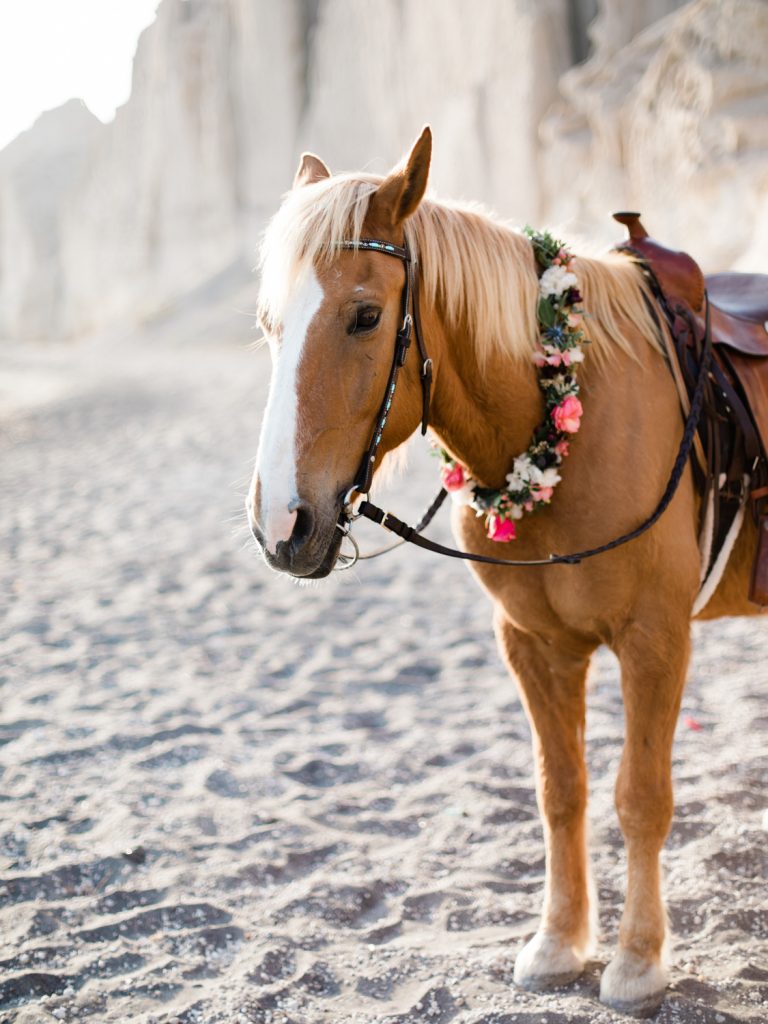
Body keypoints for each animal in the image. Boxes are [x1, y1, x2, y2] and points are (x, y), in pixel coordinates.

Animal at [246, 126, 763, 1017]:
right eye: (270, 323)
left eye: (366, 316)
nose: (283, 525)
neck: (568, 418)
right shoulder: (531, 643)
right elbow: (562, 792)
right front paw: (559, 942)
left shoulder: (653, 641)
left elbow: (641, 798)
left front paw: (637, 959)